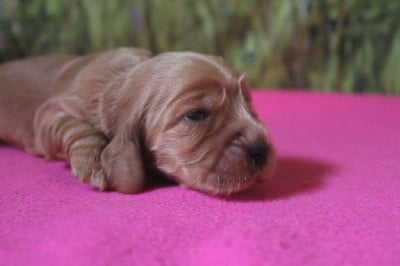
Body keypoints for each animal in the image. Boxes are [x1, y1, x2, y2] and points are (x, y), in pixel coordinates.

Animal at [0, 47, 276, 196]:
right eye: (196, 115)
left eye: (248, 103)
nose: (262, 150)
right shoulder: (50, 112)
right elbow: (75, 128)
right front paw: (93, 162)